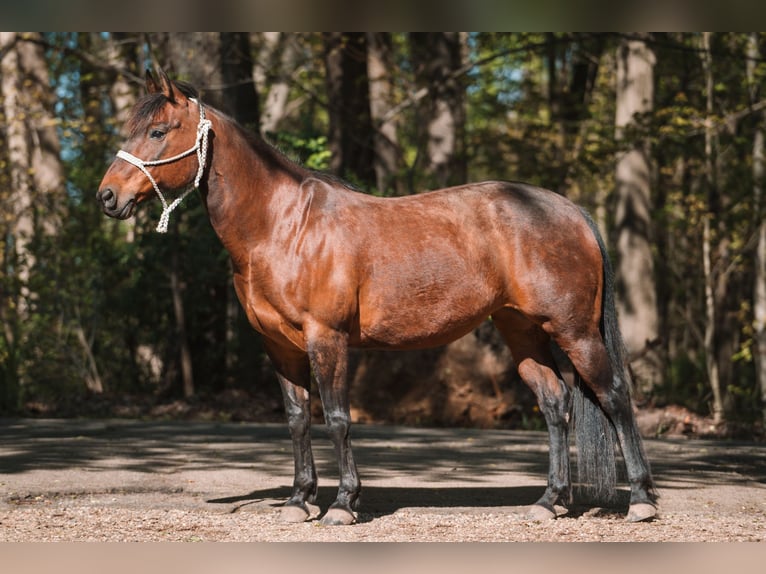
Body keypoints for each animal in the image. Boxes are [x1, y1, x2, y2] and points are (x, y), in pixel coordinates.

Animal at [97, 69, 657, 526]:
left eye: (158, 131)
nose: (107, 197)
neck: (282, 226)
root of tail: (570, 209)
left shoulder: (327, 339)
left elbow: (338, 418)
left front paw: (343, 504)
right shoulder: (278, 347)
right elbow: (298, 419)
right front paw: (299, 500)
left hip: (575, 331)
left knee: (615, 397)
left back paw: (641, 501)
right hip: (522, 331)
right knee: (555, 405)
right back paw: (549, 502)